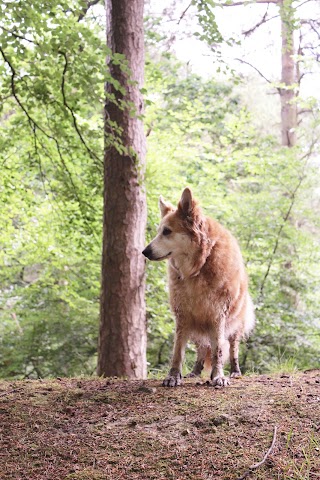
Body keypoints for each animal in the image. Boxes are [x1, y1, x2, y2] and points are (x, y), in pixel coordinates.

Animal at [142, 187, 255, 386]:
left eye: (167, 231)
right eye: (159, 231)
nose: (144, 252)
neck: (198, 267)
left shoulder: (217, 315)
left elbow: (218, 351)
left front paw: (218, 376)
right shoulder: (183, 315)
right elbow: (178, 351)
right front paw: (173, 376)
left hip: (235, 325)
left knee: (232, 348)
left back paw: (235, 371)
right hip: (197, 326)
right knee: (202, 349)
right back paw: (195, 372)